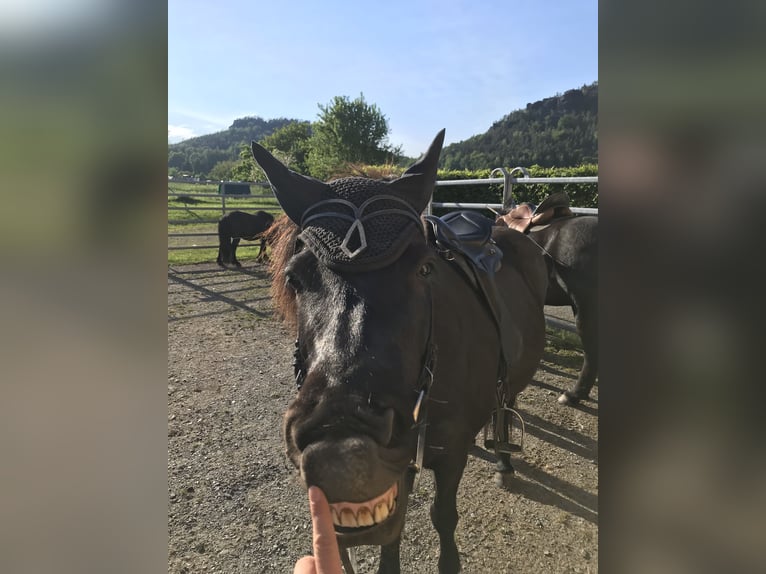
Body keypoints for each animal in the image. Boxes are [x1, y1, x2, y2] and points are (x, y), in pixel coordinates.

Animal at [255, 132, 548, 574]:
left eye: (425, 269)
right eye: (294, 277)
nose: (342, 456)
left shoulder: (449, 456)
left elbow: (443, 516)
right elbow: (395, 527)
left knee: (506, 403)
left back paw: (503, 460)